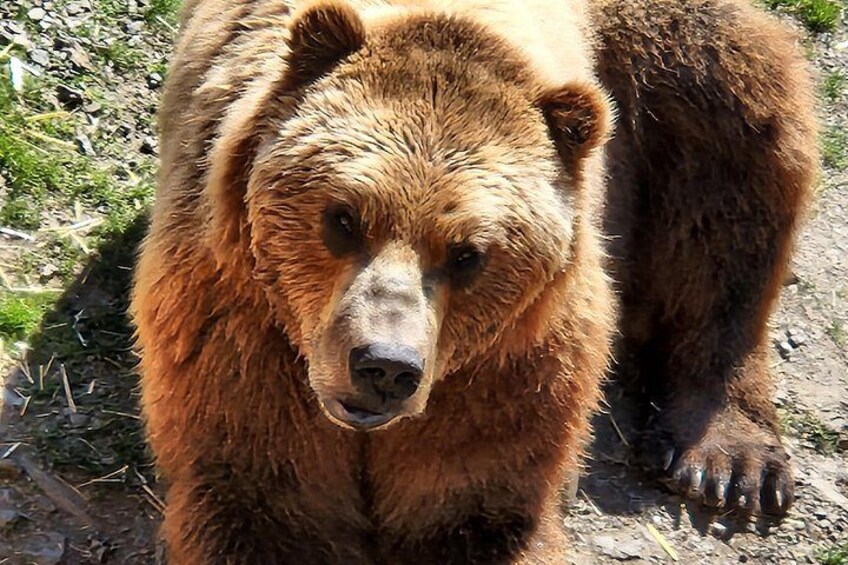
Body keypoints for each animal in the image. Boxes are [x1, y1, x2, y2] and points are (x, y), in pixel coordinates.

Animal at [131, 0, 817, 562]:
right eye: (344, 217)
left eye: (467, 254)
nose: (385, 366)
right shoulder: (242, 328)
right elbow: (262, 501)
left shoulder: (507, 370)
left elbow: (475, 510)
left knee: (732, 149)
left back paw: (727, 460)